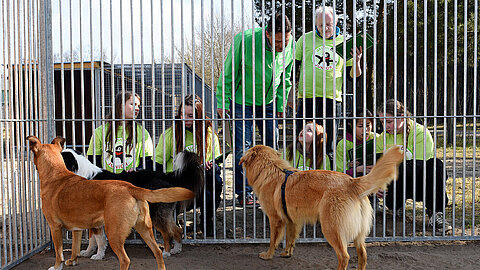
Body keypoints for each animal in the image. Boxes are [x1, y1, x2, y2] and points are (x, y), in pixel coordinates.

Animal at [61, 149, 203, 258]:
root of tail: (168, 177)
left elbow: (99, 240)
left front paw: (99, 255)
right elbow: (93, 240)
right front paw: (88, 252)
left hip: (156, 213)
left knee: (167, 233)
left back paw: (166, 253)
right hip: (165, 213)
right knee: (177, 230)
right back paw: (176, 249)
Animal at [240, 144, 404, 268]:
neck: (270, 169)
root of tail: (352, 182)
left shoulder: (276, 219)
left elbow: (273, 240)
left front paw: (267, 255)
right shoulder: (292, 221)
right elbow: (290, 239)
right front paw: (287, 253)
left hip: (331, 228)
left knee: (344, 256)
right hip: (358, 234)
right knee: (363, 255)